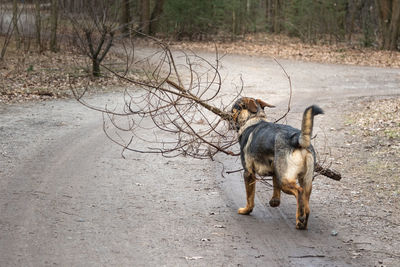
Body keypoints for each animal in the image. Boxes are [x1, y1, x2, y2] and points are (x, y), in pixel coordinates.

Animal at [231, 97, 322, 229]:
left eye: (233, 110)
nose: (228, 117)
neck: (254, 119)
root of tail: (296, 140)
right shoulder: (275, 170)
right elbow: (275, 186)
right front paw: (275, 201)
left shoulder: (248, 173)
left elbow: (250, 197)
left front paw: (246, 210)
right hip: (305, 181)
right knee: (306, 204)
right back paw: (302, 221)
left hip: (285, 180)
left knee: (299, 192)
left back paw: (300, 218)